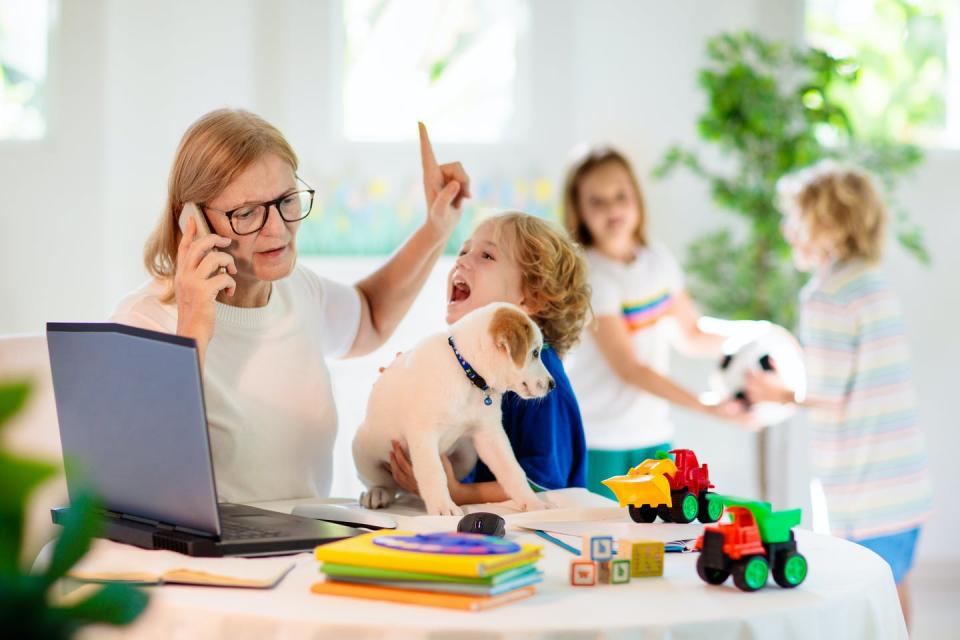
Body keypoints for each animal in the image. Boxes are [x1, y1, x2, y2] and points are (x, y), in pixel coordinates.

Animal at [352, 302, 552, 516]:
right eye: (535, 353)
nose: (553, 384)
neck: (466, 374)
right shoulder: (424, 435)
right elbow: (434, 473)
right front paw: (442, 508)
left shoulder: (490, 435)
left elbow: (513, 470)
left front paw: (533, 503)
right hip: (363, 449)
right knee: (384, 483)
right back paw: (377, 493)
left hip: (467, 455)